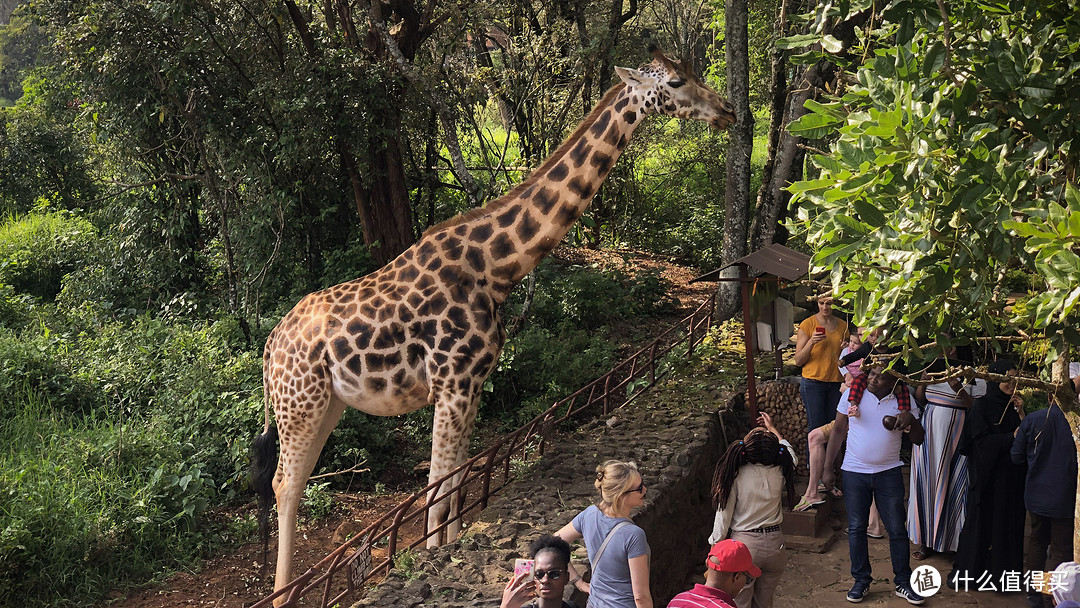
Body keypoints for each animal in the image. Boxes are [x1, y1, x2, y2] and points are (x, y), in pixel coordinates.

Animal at [253, 47, 738, 604]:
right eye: (676, 81)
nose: (727, 110)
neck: (496, 267)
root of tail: (269, 347)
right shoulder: (452, 383)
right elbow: (438, 486)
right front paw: (431, 557)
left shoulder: (472, 383)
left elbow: (456, 482)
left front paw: (444, 549)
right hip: (300, 404)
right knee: (285, 486)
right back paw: (282, 594)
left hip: (327, 403)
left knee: (293, 481)